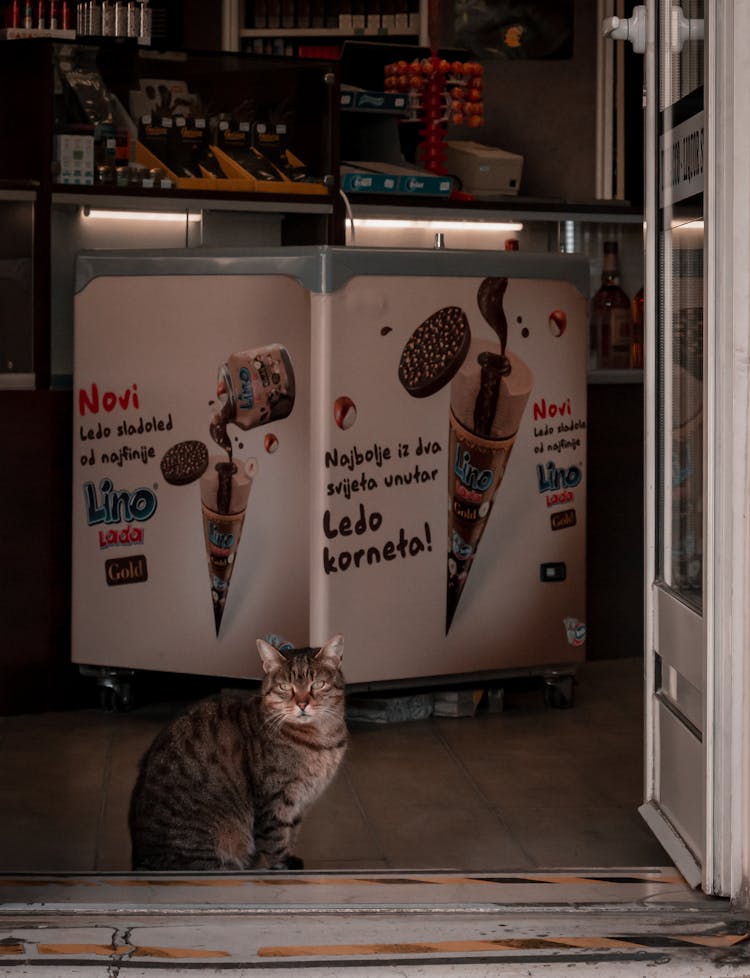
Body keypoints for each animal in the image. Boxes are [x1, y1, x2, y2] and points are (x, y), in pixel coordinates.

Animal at [130, 632, 350, 868]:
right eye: (285, 687)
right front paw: (284, 865)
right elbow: (276, 843)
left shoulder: (300, 805)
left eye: (317, 684)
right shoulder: (275, 801)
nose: (302, 704)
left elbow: (291, 836)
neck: (322, 739)